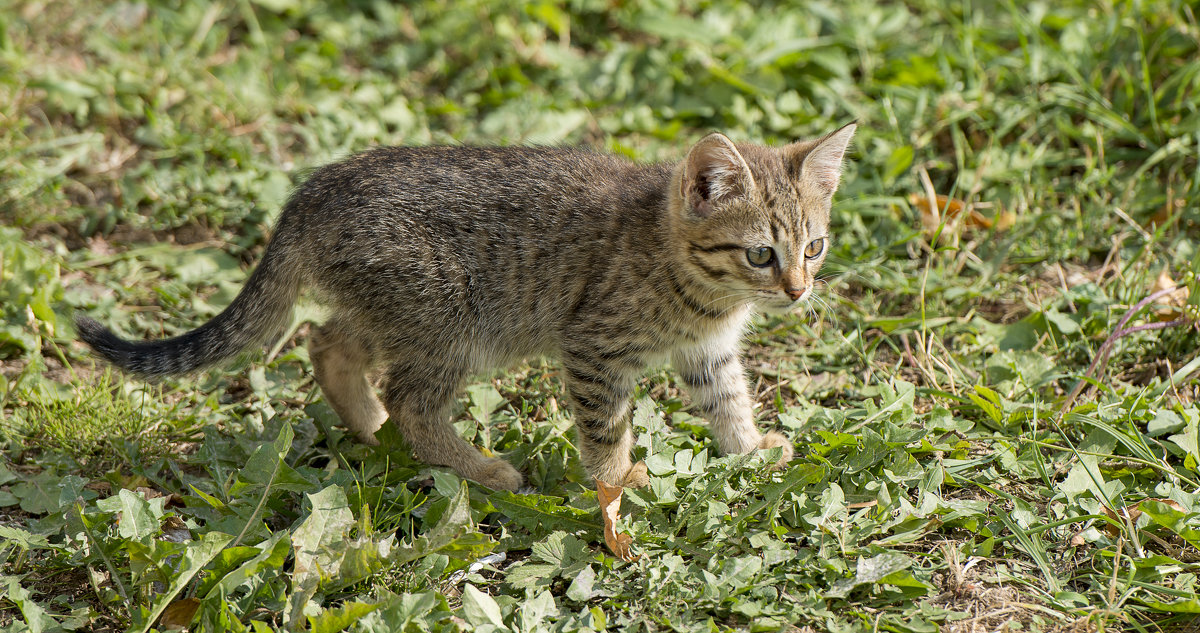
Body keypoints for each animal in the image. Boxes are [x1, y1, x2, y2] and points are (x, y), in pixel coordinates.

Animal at [77, 123, 854, 489]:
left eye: (814, 247)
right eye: (761, 254)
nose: (798, 291)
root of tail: (311, 192)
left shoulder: (709, 351)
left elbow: (728, 399)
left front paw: (749, 450)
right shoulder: (594, 348)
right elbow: (606, 427)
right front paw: (613, 482)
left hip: (396, 309)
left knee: (328, 342)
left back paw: (371, 428)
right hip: (451, 319)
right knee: (412, 398)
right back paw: (478, 468)